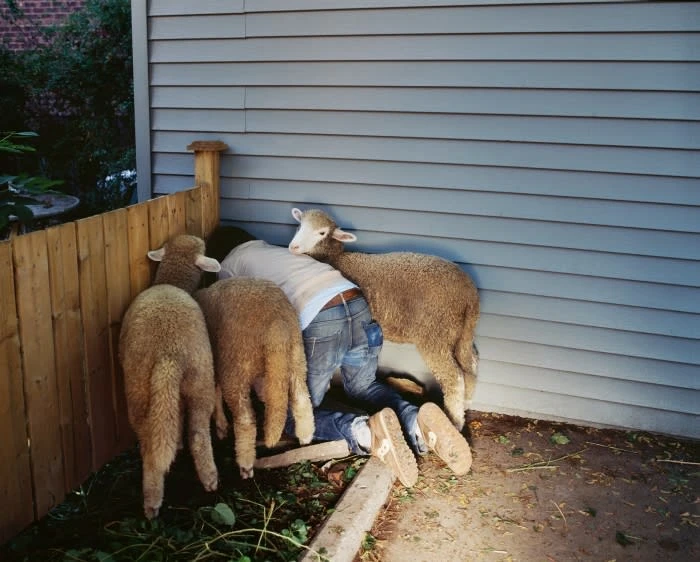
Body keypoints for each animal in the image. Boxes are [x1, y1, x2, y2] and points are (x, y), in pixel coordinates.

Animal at [119, 234, 221, 519]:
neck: (171, 282)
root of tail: (168, 355)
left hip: (142, 388)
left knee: (153, 442)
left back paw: (154, 500)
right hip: (198, 377)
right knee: (196, 433)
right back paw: (206, 480)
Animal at [195, 277, 315, 479]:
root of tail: (276, 323)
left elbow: (215, 393)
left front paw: (221, 426)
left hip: (236, 366)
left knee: (246, 420)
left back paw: (245, 465)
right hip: (297, 357)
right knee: (302, 399)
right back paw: (306, 438)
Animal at [288, 208, 480, 431]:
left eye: (322, 233)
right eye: (300, 225)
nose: (293, 247)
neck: (337, 259)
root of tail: (469, 294)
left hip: (436, 332)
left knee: (454, 378)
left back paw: (455, 421)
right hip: (463, 331)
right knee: (471, 363)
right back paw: (467, 404)